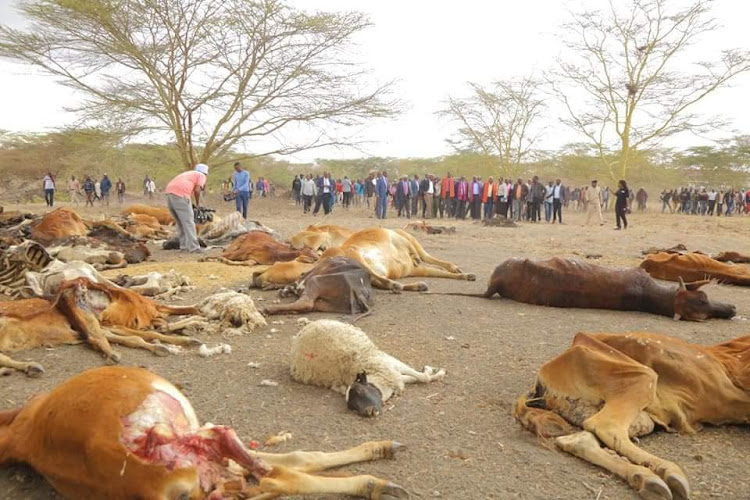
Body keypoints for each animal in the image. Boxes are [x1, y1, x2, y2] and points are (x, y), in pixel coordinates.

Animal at [0, 366, 412, 498]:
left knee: (275, 471)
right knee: (276, 474)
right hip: (203, 440)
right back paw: (375, 480)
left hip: (204, 449)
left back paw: (379, 459)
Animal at [290, 318, 444, 416]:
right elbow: (413, 378)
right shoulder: (391, 374)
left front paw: (435, 372)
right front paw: (432, 373)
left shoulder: (391, 365)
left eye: (360, 391)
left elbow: (420, 377)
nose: (367, 412)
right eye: (351, 407)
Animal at [320, 228, 472, 292]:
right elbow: (421, 255)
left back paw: (418, 285)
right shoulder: (398, 238)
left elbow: (438, 271)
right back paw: (399, 285)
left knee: (380, 281)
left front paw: (465, 275)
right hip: (356, 256)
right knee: (383, 280)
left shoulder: (414, 269)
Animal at [516, 332, 750, 500]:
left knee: (579, 437)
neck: (728, 359)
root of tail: (542, 378)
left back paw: (647, 479)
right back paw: (667, 473)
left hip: (641, 416)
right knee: (605, 427)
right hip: (641, 376)